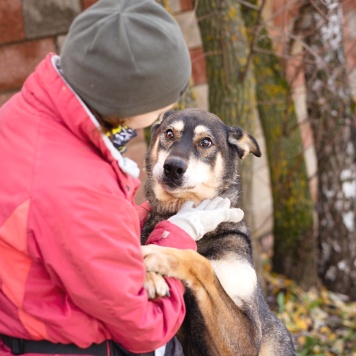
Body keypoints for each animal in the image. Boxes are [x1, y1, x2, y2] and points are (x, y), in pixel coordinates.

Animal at [141, 109, 294, 356]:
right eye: (169, 133)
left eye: (206, 142)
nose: (172, 167)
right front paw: (147, 273)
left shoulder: (247, 339)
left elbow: (202, 265)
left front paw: (159, 254)